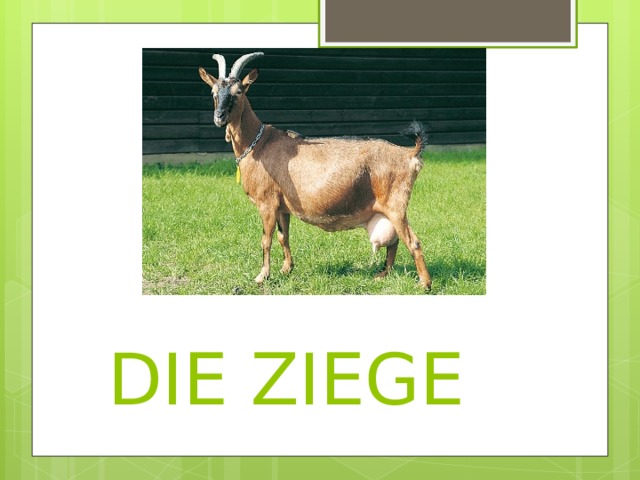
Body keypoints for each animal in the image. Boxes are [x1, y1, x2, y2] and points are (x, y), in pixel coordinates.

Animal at [198, 52, 432, 290]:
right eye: (213, 92)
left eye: (239, 92)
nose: (219, 117)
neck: (258, 144)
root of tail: (409, 154)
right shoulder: (282, 206)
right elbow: (283, 236)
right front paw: (286, 269)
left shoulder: (267, 203)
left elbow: (266, 239)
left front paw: (262, 276)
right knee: (394, 241)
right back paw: (383, 274)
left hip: (396, 205)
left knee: (413, 241)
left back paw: (424, 283)